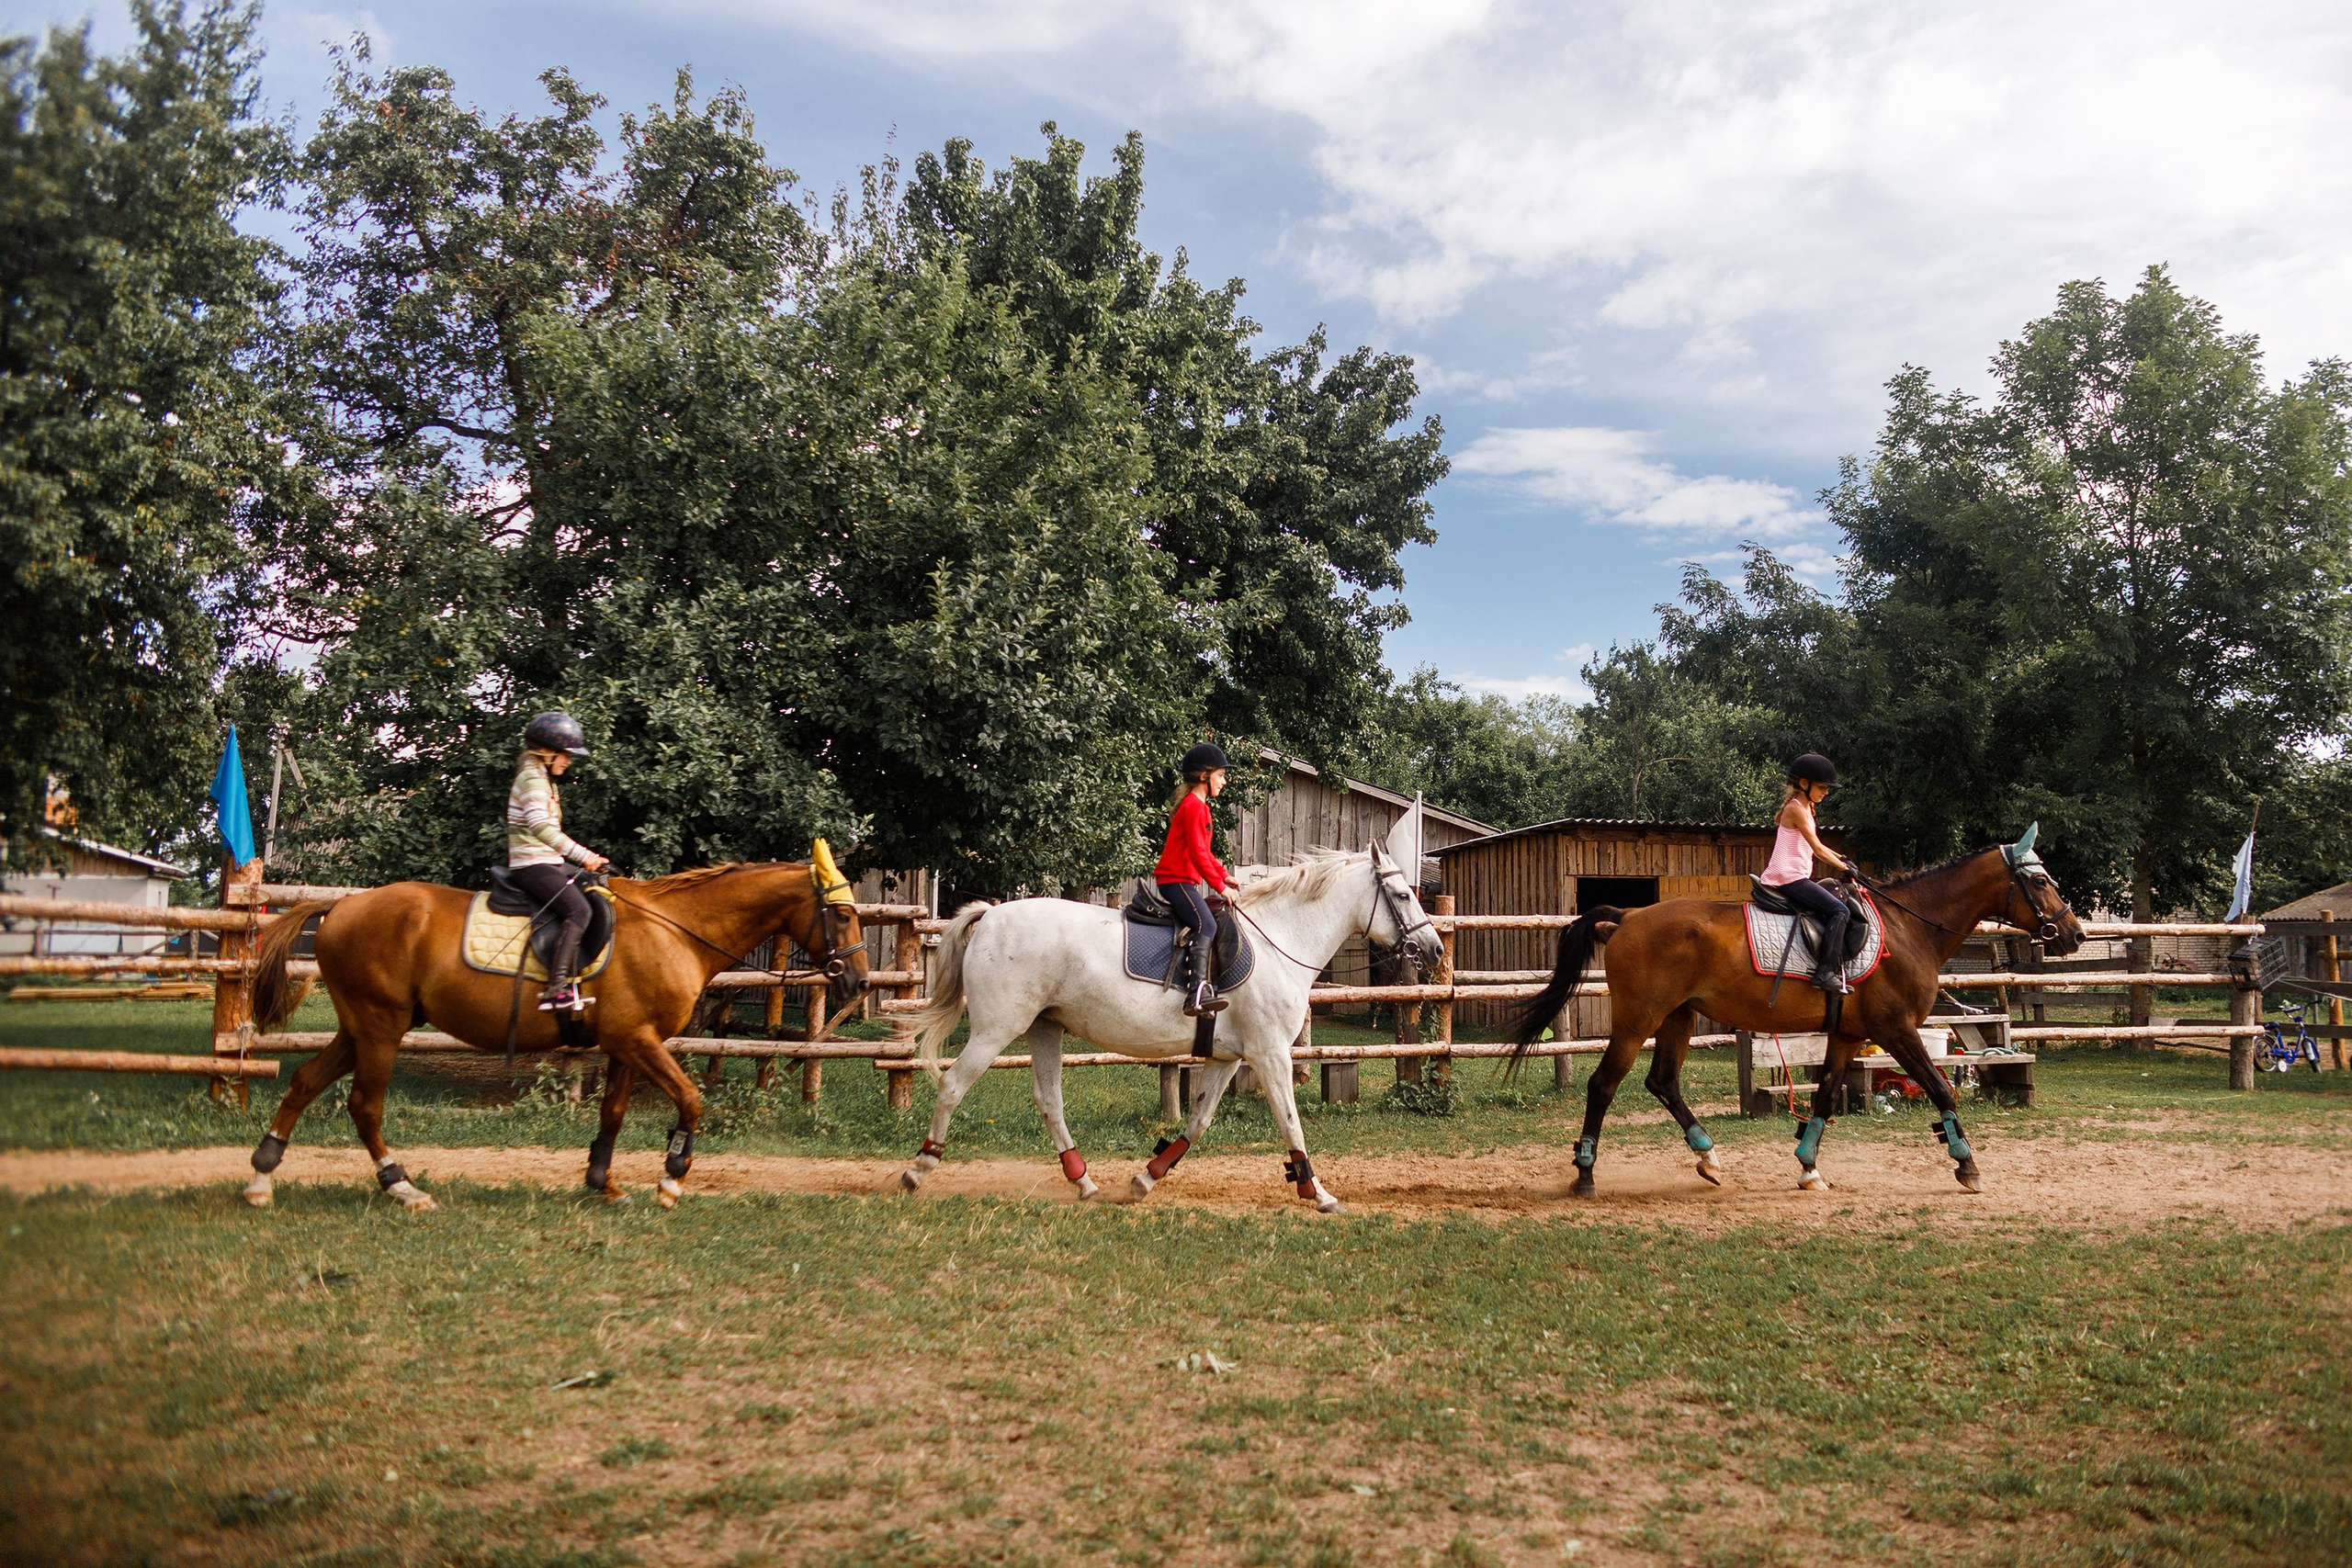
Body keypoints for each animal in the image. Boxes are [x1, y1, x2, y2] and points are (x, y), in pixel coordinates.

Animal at [240, 855, 869, 1210]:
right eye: (841, 914)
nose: (860, 982)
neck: (676, 930)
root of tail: (341, 908)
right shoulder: (638, 1041)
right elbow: (691, 1099)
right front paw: (672, 1178)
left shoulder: (627, 1044)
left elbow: (613, 1113)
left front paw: (603, 1180)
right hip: (380, 1028)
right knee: (365, 1104)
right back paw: (400, 1186)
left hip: (360, 1027)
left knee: (305, 1081)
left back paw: (263, 1176)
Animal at [900, 806, 1445, 1213]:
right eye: (1402, 895)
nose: (1435, 949)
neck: (1279, 939)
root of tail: (991, 914)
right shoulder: (1270, 1053)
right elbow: (1291, 1121)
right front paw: (1318, 1192)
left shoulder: (1229, 1057)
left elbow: (1198, 1122)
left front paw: (1146, 1178)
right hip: (996, 1029)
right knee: (953, 1085)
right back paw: (918, 1168)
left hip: (1044, 1028)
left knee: (1049, 1100)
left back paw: (1085, 1182)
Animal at [1506, 825, 2085, 1195]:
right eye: (2039, 881)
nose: (2075, 934)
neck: (1910, 929)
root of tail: (1628, 916)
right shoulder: (1896, 1030)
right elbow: (1943, 1090)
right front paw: (1967, 1166)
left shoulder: (1850, 1034)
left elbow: (1826, 1096)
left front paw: (1808, 1168)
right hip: (1638, 1018)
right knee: (1604, 1084)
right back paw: (1585, 1174)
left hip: (1679, 1016)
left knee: (1662, 1082)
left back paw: (1708, 1157)